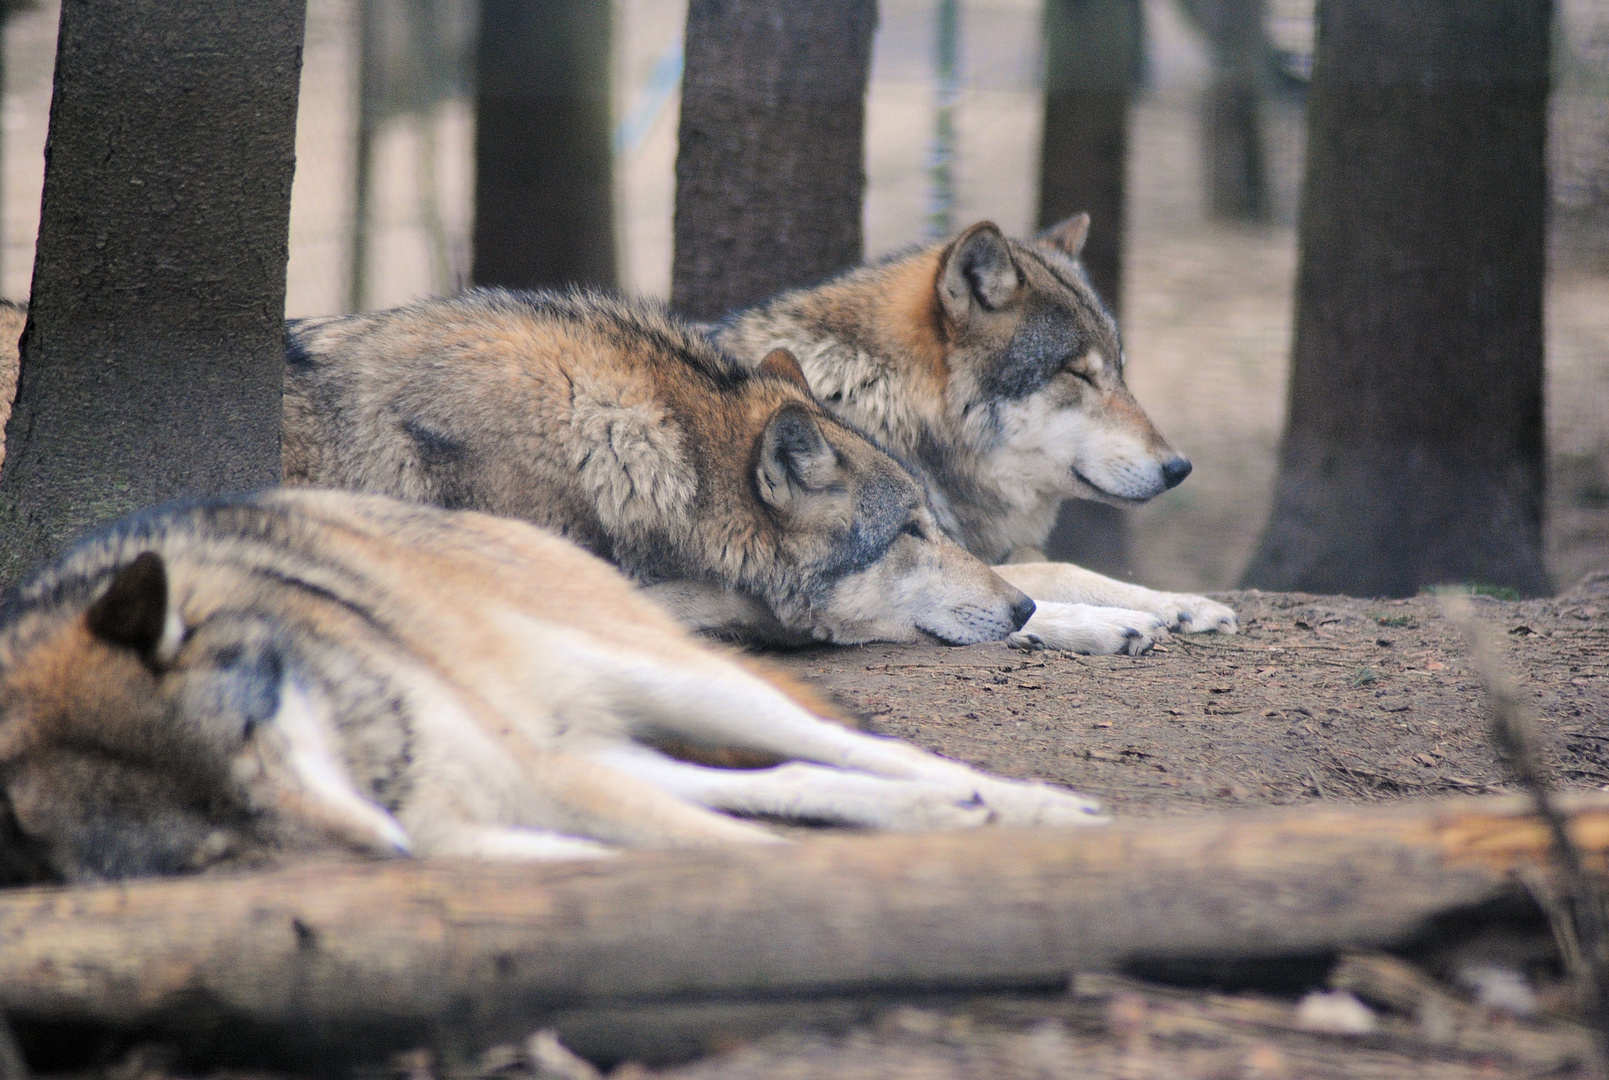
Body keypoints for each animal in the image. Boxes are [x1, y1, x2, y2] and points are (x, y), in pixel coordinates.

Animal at [0, 489, 1100, 875]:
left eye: (257, 741)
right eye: (225, 831)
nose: (385, 850)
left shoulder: (533, 782)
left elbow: (731, 846)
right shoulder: (494, 827)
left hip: (670, 689)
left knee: (854, 745)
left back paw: (1030, 806)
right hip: (591, 746)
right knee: (794, 781)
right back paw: (951, 818)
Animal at [714, 215, 1242, 653]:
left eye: (1120, 372)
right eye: (1078, 374)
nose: (1179, 468)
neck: (882, 404)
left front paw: (1181, 604)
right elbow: (1041, 574)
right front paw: (1103, 622)